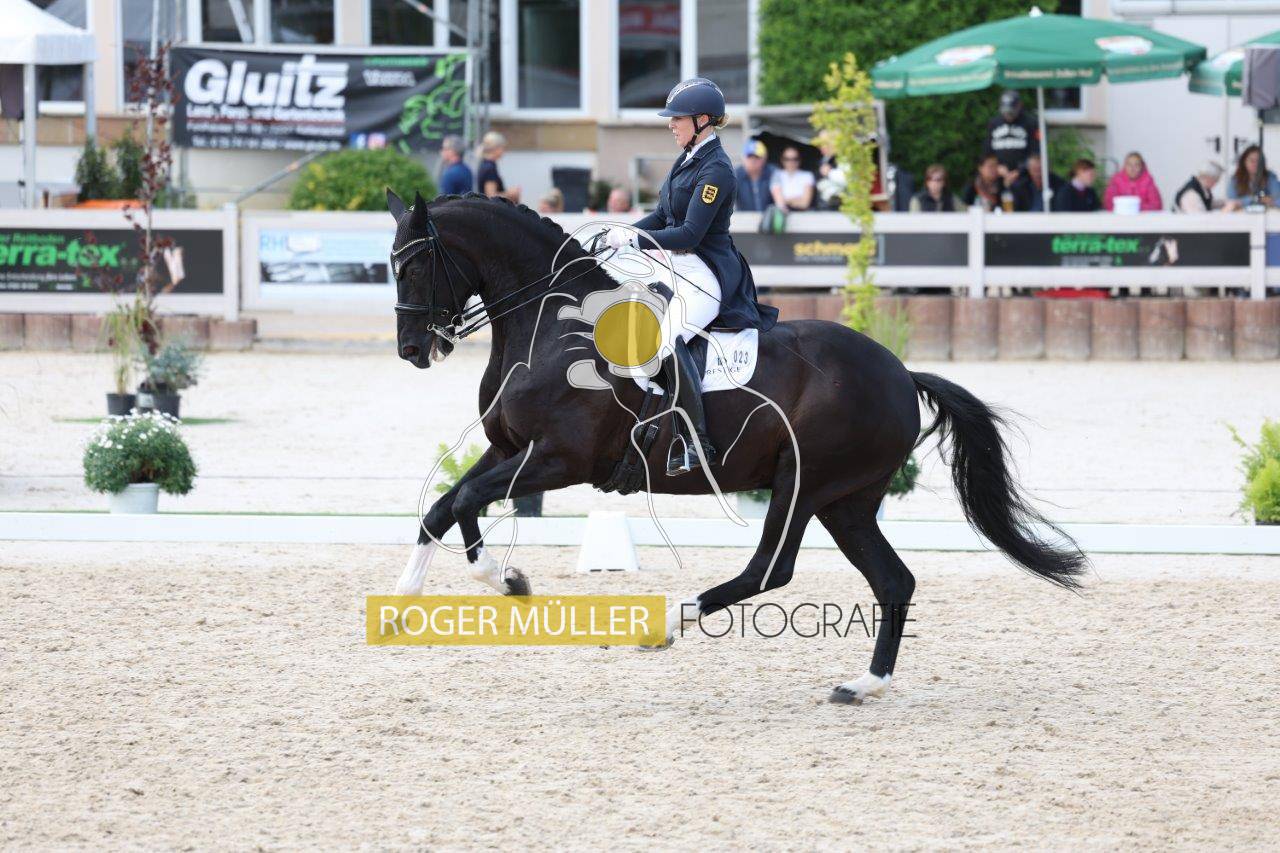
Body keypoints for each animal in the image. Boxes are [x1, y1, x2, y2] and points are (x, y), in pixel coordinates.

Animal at [386, 189, 1087, 703]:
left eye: (416, 264)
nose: (413, 350)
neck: (549, 327)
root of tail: (899, 374)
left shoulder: (558, 460)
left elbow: (461, 504)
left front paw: (496, 583)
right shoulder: (508, 449)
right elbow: (443, 507)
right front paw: (419, 602)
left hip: (803, 484)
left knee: (770, 569)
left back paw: (664, 627)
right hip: (848, 500)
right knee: (892, 579)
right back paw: (863, 684)